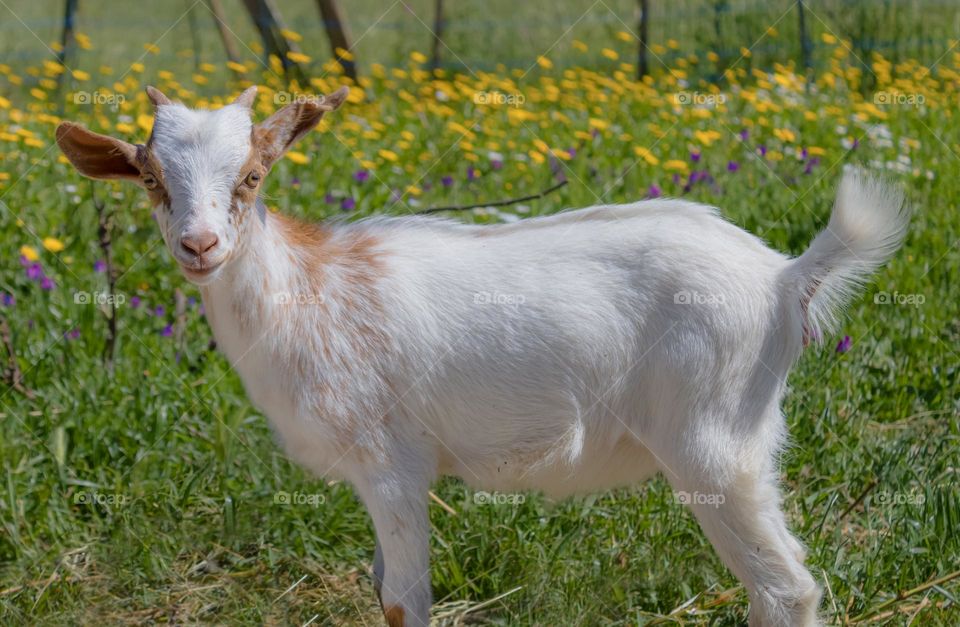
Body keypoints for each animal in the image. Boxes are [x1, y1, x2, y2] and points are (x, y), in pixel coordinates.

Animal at [56, 84, 912, 627]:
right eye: (151, 179)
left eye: (253, 175)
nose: (200, 246)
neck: (310, 291)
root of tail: (783, 276)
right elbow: (381, 588)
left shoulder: (392, 463)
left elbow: (403, 600)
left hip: (715, 445)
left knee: (787, 588)